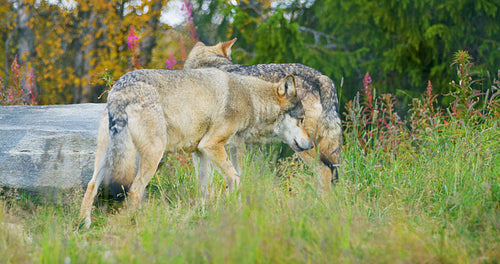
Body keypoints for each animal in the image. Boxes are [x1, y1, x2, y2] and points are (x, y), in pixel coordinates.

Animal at [78, 67, 312, 228]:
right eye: (301, 119)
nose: (310, 144)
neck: (250, 99)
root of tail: (121, 89)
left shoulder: (201, 153)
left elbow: (204, 189)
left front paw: (204, 214)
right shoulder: (212, 145)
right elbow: (235, 179)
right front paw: (237, 209)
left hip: (107, 157)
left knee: (91, 186)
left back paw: (84, 224)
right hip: (153, 156)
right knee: (134, 190)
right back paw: (135, 224)